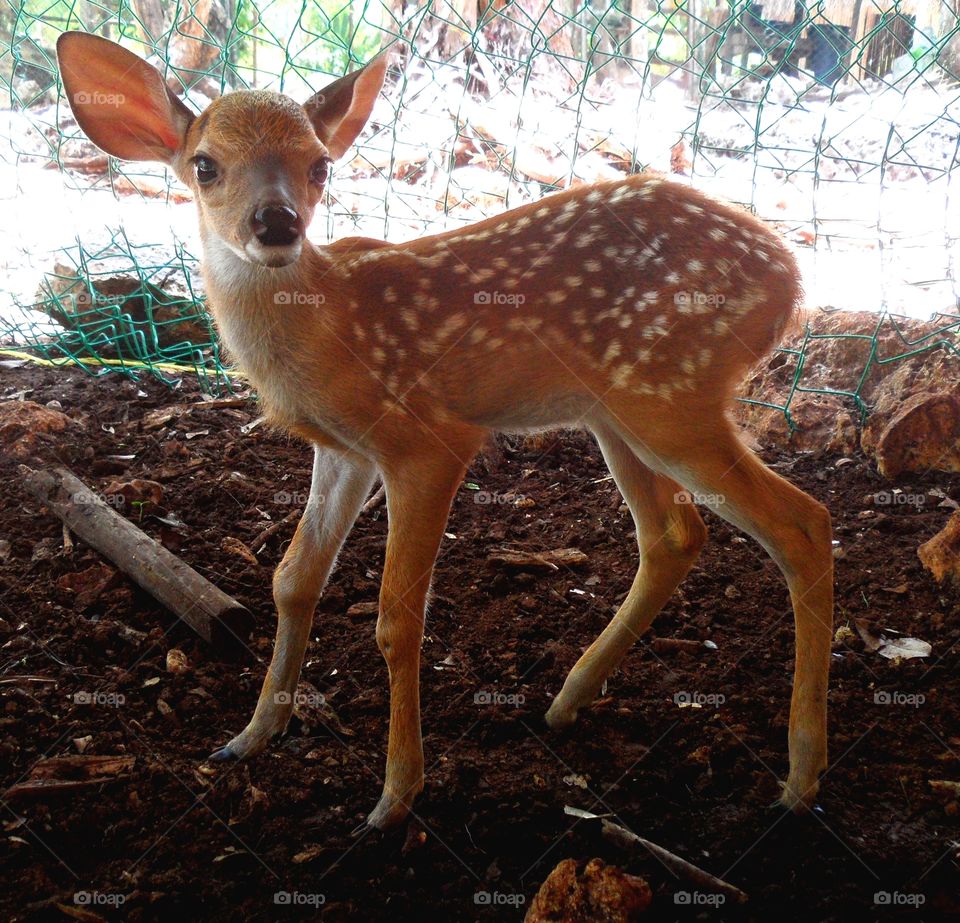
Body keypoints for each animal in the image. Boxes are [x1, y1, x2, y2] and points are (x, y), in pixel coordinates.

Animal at [57, 31, 833, 832]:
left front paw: (397, 793)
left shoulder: (426, 441)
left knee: (803, 522)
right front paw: (250, 735)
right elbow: (293, 579)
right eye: (205, 164)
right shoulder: (342, 450)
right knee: (675, 536)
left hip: (672, 397)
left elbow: (396, 619)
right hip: (617, 413)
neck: (324, 325)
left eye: (319, 163)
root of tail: (791, 279)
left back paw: (801, 776)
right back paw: (567, 701)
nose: (276, 223)